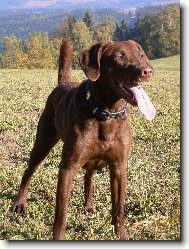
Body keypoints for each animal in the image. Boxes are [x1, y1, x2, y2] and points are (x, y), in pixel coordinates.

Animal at [12, 38, 155, 239]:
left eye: (141, 55)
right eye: (119, 56)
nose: (147, 71)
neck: (106, 112)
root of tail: (62, 84)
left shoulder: (119, 167)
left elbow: (119, 208)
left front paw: (121, 234)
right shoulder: (68, 168)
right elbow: (61, 215)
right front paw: (59, 238)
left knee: (89, 176)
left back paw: (88, 205)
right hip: (43, 142)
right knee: (29, 171)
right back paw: (19, 203)